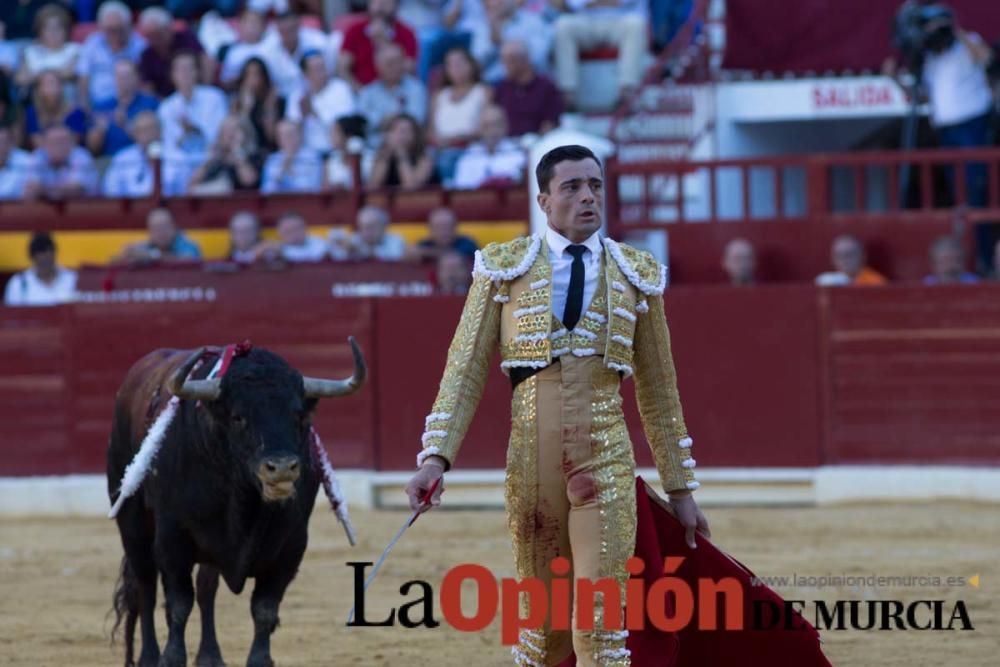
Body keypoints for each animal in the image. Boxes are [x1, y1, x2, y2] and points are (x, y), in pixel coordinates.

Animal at [104, 340, 368, 667]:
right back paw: (149, 657)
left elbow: (264, 610)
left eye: (298, 416)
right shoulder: (172, 540)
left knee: (206, 590)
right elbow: (178, 604)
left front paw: (258, 659)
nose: (282, 468)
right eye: (239, 417)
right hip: (132, 522)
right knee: (146, 587)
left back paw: (210, 656)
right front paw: (171, 658)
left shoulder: (291, 548)